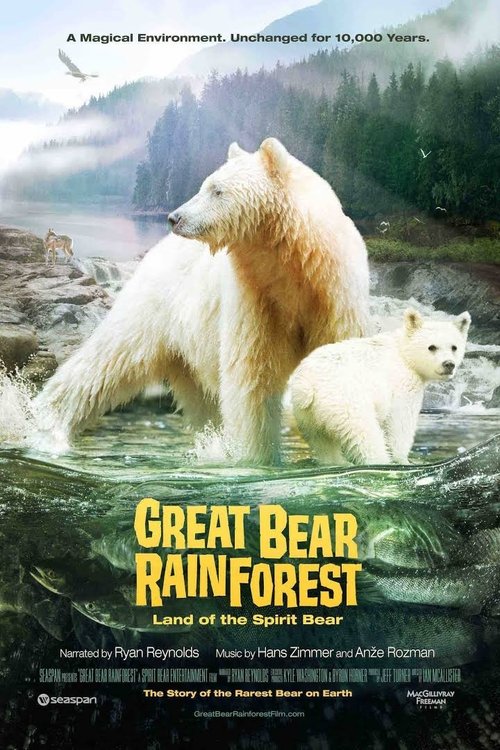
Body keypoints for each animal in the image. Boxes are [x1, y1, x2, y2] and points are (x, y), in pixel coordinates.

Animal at [35, 137, 369, 464]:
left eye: (216, 190)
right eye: (205, 184)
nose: (174, 217)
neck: (293, 267)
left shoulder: (335, 300)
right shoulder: (254, 298)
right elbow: (253, 380)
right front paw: (257, 461)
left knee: (202, 402)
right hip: (152, 309)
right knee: (104, 364)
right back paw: (46, 425)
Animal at [290, 308, 471, 466]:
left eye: (454, 347)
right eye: (432, 347)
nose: (449, 364)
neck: (403, 352)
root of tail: (306, 383)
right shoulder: (403, 383)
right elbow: (400, 423)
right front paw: (402, 460)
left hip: (308, 414)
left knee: (322, 441)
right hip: (346, 399)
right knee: (364, 434)